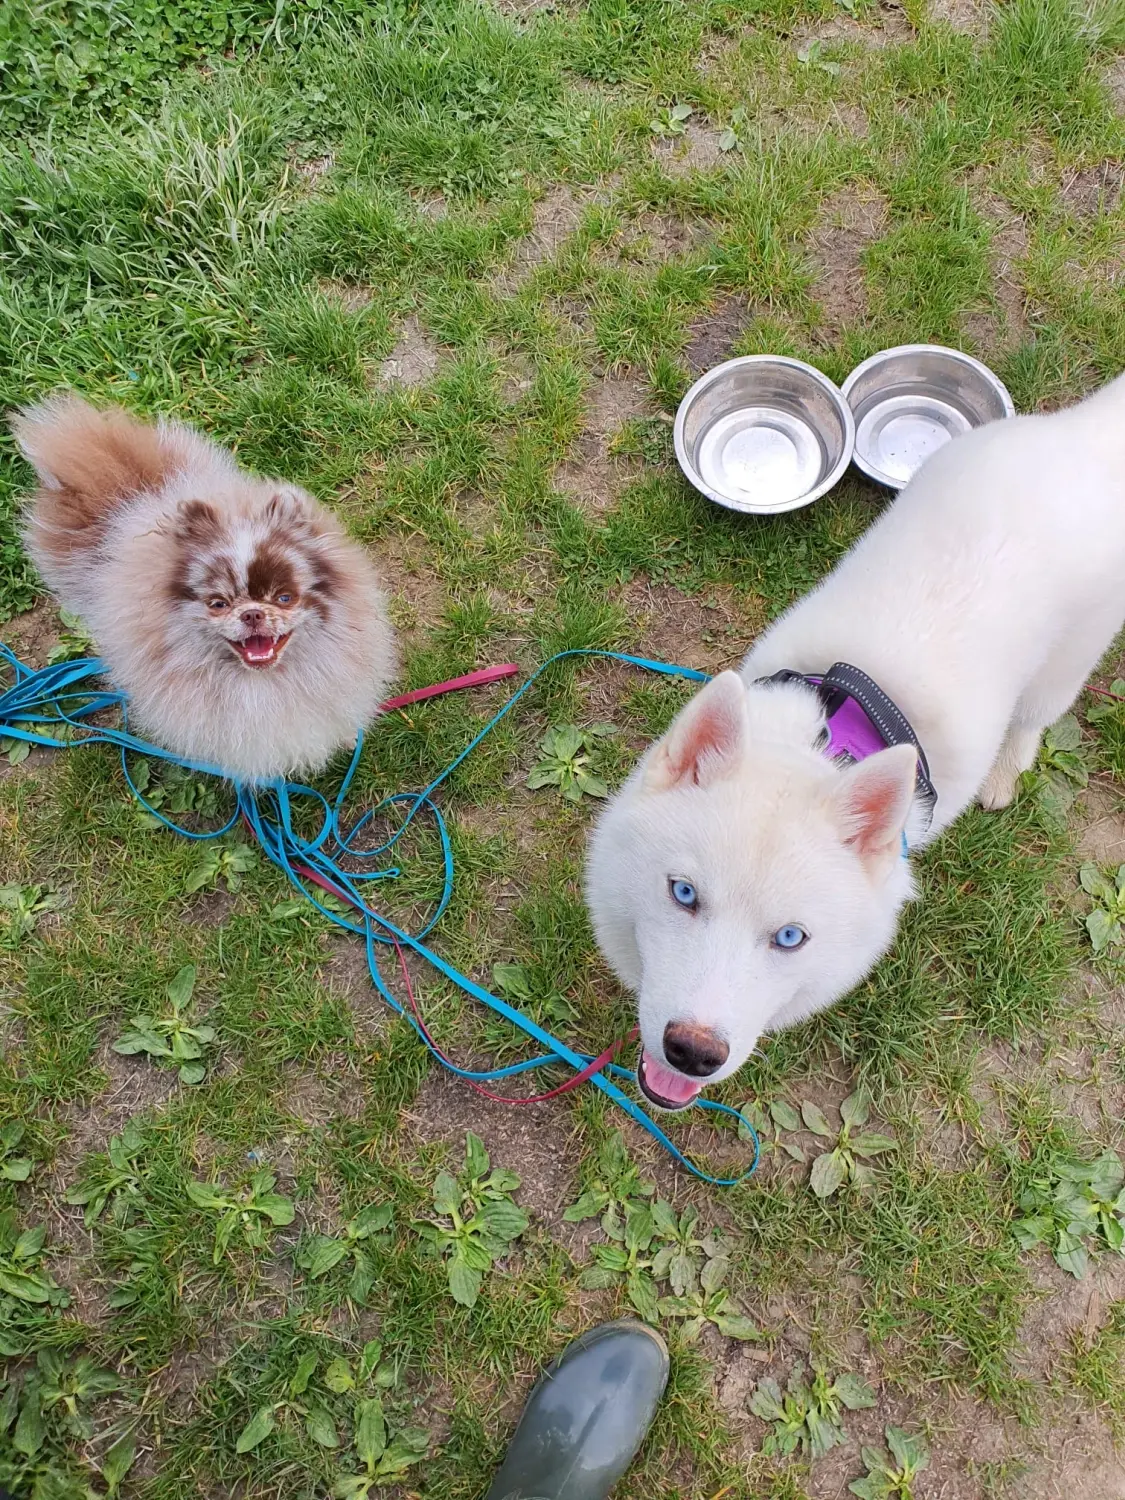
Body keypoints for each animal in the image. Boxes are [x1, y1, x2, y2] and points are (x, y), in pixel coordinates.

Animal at [585, 369, 1125, 1110]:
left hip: (1065, 666)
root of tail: (1084, 435)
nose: (692, 1052)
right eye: (684, 894)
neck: (821, 742)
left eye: (790, 938)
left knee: (1034, 716)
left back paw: (1004, 770)